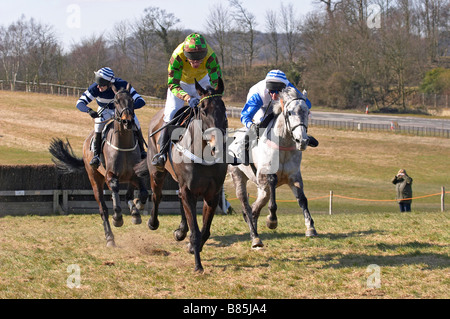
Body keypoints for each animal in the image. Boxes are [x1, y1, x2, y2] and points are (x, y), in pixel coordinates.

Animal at [49, 84, 149, 248]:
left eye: (132, 101)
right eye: (116, 101)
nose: (128, 122)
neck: (123, 144)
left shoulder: (135, 174)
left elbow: (144, 193)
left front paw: (137, 207)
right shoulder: (110, 177)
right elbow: (115, 198)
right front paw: (118, 218)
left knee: (128, 194)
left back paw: (134, 212)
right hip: (95, 178)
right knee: (103, 209)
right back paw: (110, 237)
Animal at [133, 77, 225, 272]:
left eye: (223, 108)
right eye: (203, 109)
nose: (217, 147)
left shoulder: (211, 194)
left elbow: (204, 230)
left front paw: (191, 244)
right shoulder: (189, 190)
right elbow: (196, 231)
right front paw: (198, 265)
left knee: (179, 198)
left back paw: (181, 231)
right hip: (157, 172)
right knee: (157, 196)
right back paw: (153, 222)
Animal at [229, 86, 316, 249]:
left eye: (307, 112)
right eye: (290, 112)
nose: (302, 141)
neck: (284, 143)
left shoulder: (294, 176)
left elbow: (302, 200)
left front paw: (310, 227)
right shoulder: (267, 175)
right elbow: (273, 199)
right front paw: (271, 221)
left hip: (261, 187)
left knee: (256, 206)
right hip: (238, 176)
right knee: (246, 205)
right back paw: (255, 237)